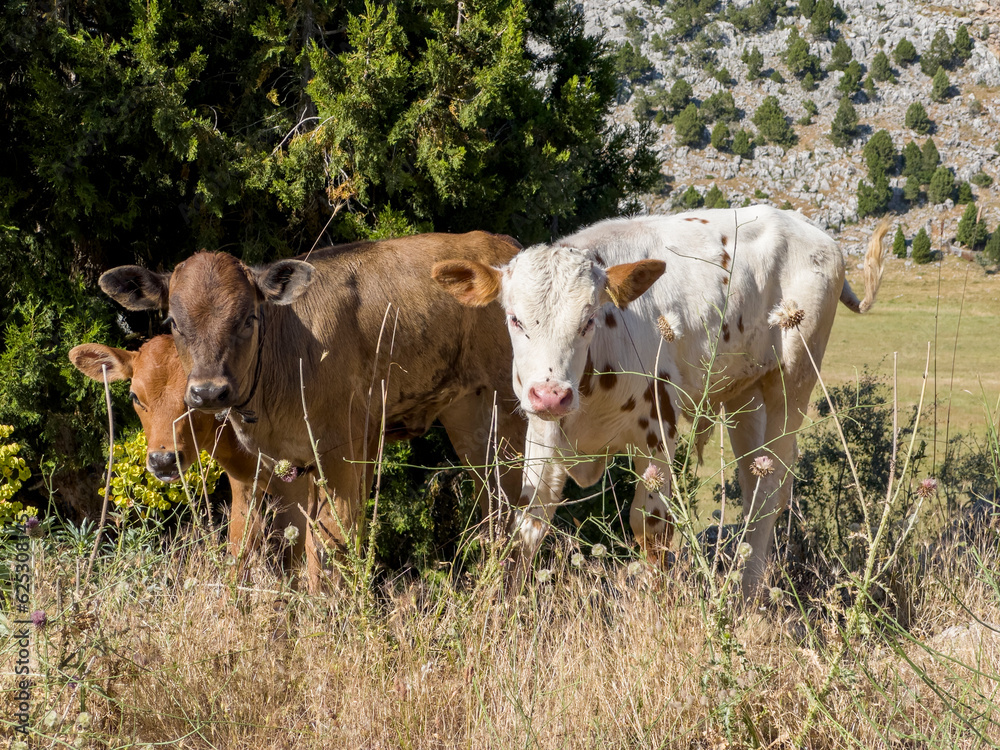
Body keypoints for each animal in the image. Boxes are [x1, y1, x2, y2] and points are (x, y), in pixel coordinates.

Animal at [97, 233, 526, 589]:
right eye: (174, 321)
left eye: (249, 318)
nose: (208, 391)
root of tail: (502, 248)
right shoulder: (278, 471)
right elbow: (260, 550)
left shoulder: (339, 459)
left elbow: (324, 555)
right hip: (470, 421)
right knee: (494, 507)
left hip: (510, 416)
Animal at [433, 206, 888, 598]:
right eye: (514, 319)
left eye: (588, 320)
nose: (552, 394)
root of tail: (806, 226)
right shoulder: (542, 437)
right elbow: (528, 524)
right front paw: (505, 610)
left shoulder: (657, 435)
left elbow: (650, 529)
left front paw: (658, 607)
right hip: (745, 395)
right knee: (754, 480)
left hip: (792, 380)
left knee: (772, 486)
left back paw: (745, 598)